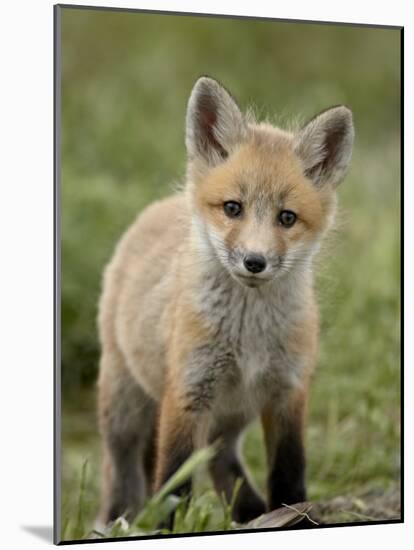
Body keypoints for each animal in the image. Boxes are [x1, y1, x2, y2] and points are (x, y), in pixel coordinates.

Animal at [96, 75, 352, 528]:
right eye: (233, 208)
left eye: (287, 218)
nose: (255, 261)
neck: (248, 336)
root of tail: (158, 207)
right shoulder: (187, 393)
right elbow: (172, 483)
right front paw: (164, 530)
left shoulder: (288, 392)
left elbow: (289, 474)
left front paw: (294, 514)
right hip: (125, 407)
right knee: (122, 469)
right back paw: (115, 522)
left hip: (230, 418)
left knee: (221, 463)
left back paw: (250, 514)